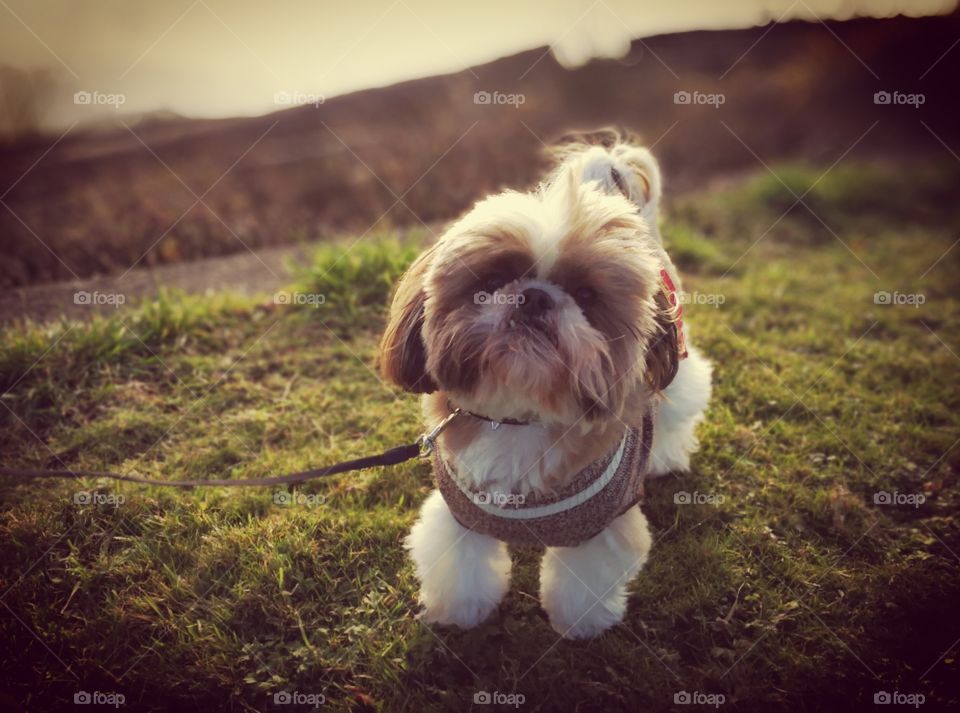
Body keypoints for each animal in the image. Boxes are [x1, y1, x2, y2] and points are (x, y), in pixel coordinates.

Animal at [378, 129, 708, 640]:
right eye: (494, 278)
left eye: (587, 295)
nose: (535, 296)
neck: (522, 416)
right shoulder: (459, 516)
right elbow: (462, 570)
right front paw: (459, 615)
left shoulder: (601, 527)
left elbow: (581, 585)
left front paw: (581, 626)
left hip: (677, 370)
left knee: (676, 409)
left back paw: (665, 457)